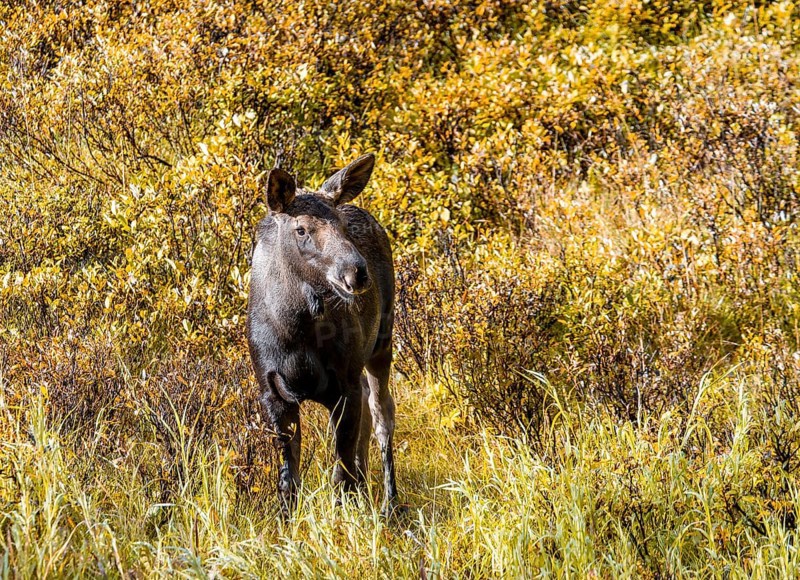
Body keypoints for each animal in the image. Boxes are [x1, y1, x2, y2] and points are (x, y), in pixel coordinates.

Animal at [246, 153, 399, 518]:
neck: (295, 328)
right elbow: (289, 481)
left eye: (343, 226)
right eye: (301, 229)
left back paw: (390, 502)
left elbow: (340, 474)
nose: (357, 271)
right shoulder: (271, 392)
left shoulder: (343, 383)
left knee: (382, 413)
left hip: (382, 344)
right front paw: (286, 523)